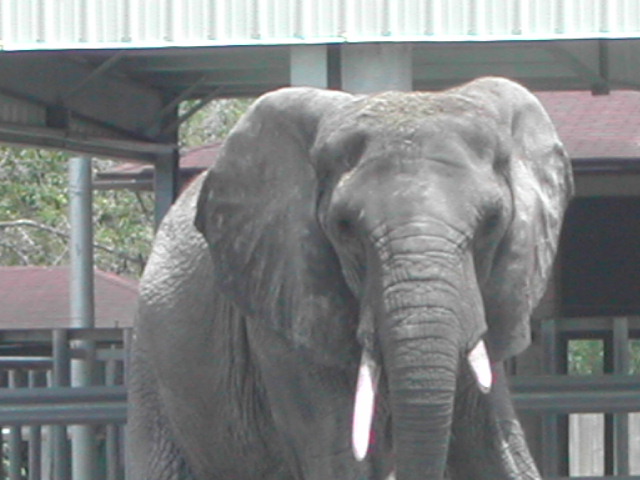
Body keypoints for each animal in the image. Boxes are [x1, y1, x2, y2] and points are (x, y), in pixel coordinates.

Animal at [127, 76, 572, 480]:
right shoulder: (284, 316)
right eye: (343, 228)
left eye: (492, 223)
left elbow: (498, 451)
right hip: (152, 367)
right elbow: (339, 457)